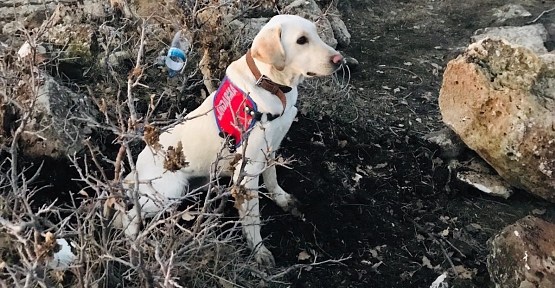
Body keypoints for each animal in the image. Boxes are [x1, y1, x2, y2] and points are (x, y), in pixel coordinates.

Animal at [114, 13, 344, 266]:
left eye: (316, 34)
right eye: (301, 40)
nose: (340, 60)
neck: (271, 84)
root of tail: (136, 170)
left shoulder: (271, 148)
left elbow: (272, 178)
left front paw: (282, 199)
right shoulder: (248, 169)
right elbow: (253, 217)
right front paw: (258, 251)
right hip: (169, 190)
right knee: (129, 215)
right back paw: (136, 245)